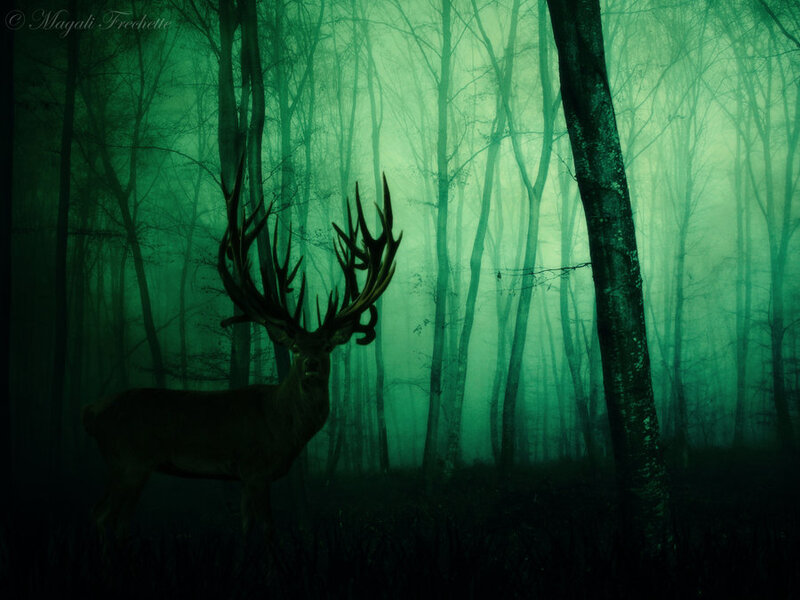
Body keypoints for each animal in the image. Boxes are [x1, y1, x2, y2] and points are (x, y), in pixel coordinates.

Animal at [82, 165, 401, 540]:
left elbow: (246, 527)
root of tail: (91, 412)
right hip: (129, 461)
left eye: (326, 346)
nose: (311, 364)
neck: (284, 427)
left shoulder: (250, 476)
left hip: (126, 466)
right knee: (104, 516)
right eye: (295, 347)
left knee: (107, 515)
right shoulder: (254, 469)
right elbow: (262, 530)